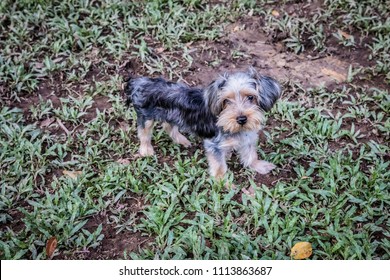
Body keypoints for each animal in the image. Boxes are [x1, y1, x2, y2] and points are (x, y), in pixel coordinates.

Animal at [126, 68, 282, 179]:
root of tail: (140, 82)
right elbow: (219, 166)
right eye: (226, 101)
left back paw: (181, 140)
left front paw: (258, 165)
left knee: (168, 125)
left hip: (173, 114)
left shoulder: (248, 137)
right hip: (146, 116)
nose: (242, 119)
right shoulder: (214, 145)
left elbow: (251, 154)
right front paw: (222, 182)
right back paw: (146, 150)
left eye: (251, 97)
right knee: (144, 132)